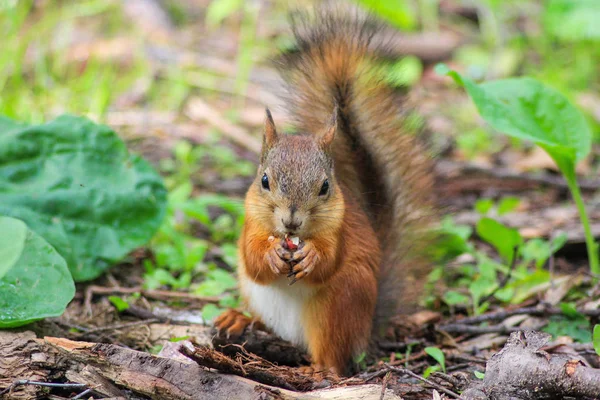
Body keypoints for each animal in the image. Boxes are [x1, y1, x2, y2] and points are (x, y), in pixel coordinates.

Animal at [213, 7, 434, 376]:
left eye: (325, 187)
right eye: (264, 181)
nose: (290, 221)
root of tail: (367, 326)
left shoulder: (339, 229)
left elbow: (330, 260)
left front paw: (313, 256)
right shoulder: (250, 224)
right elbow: (252, 257)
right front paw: (271, 254)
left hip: (338, 304)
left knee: (332, 359)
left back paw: (314, 369)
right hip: (257, 296)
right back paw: (239, 319)